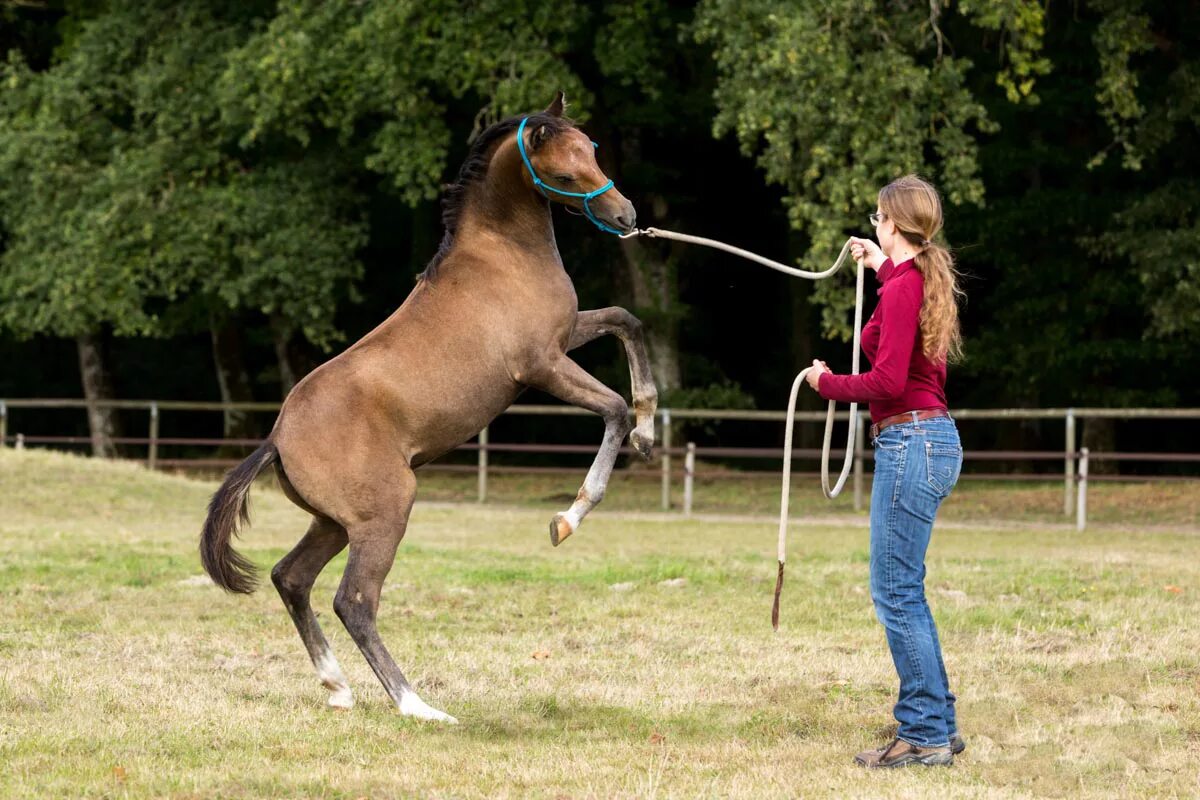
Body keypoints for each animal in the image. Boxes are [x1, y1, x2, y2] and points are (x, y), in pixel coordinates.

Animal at [202, 90, 662, 724]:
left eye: (591, 149)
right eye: (565, 172)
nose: (624, 215)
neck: (501, 256)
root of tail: (276, 440)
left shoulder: (567, 334)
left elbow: (627, 322)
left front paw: (648, 429)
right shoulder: (541, 365)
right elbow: (612, 406)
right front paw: (568, 518)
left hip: (335, 523)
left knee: (290, 578)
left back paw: (338, 688)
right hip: (387, 513)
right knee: (354, 600)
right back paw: (418, 706)